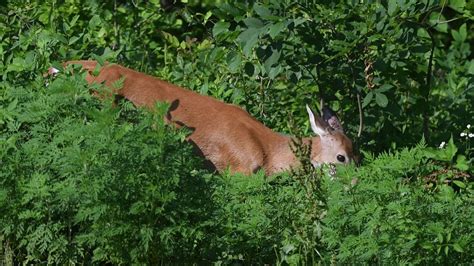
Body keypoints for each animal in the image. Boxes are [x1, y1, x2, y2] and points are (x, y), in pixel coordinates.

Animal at [49, 61, 352, 176]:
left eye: (357, 153)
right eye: (341, 157)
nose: (355, 183)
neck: (268, 153)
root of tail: (57, 67)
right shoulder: (236, 171)